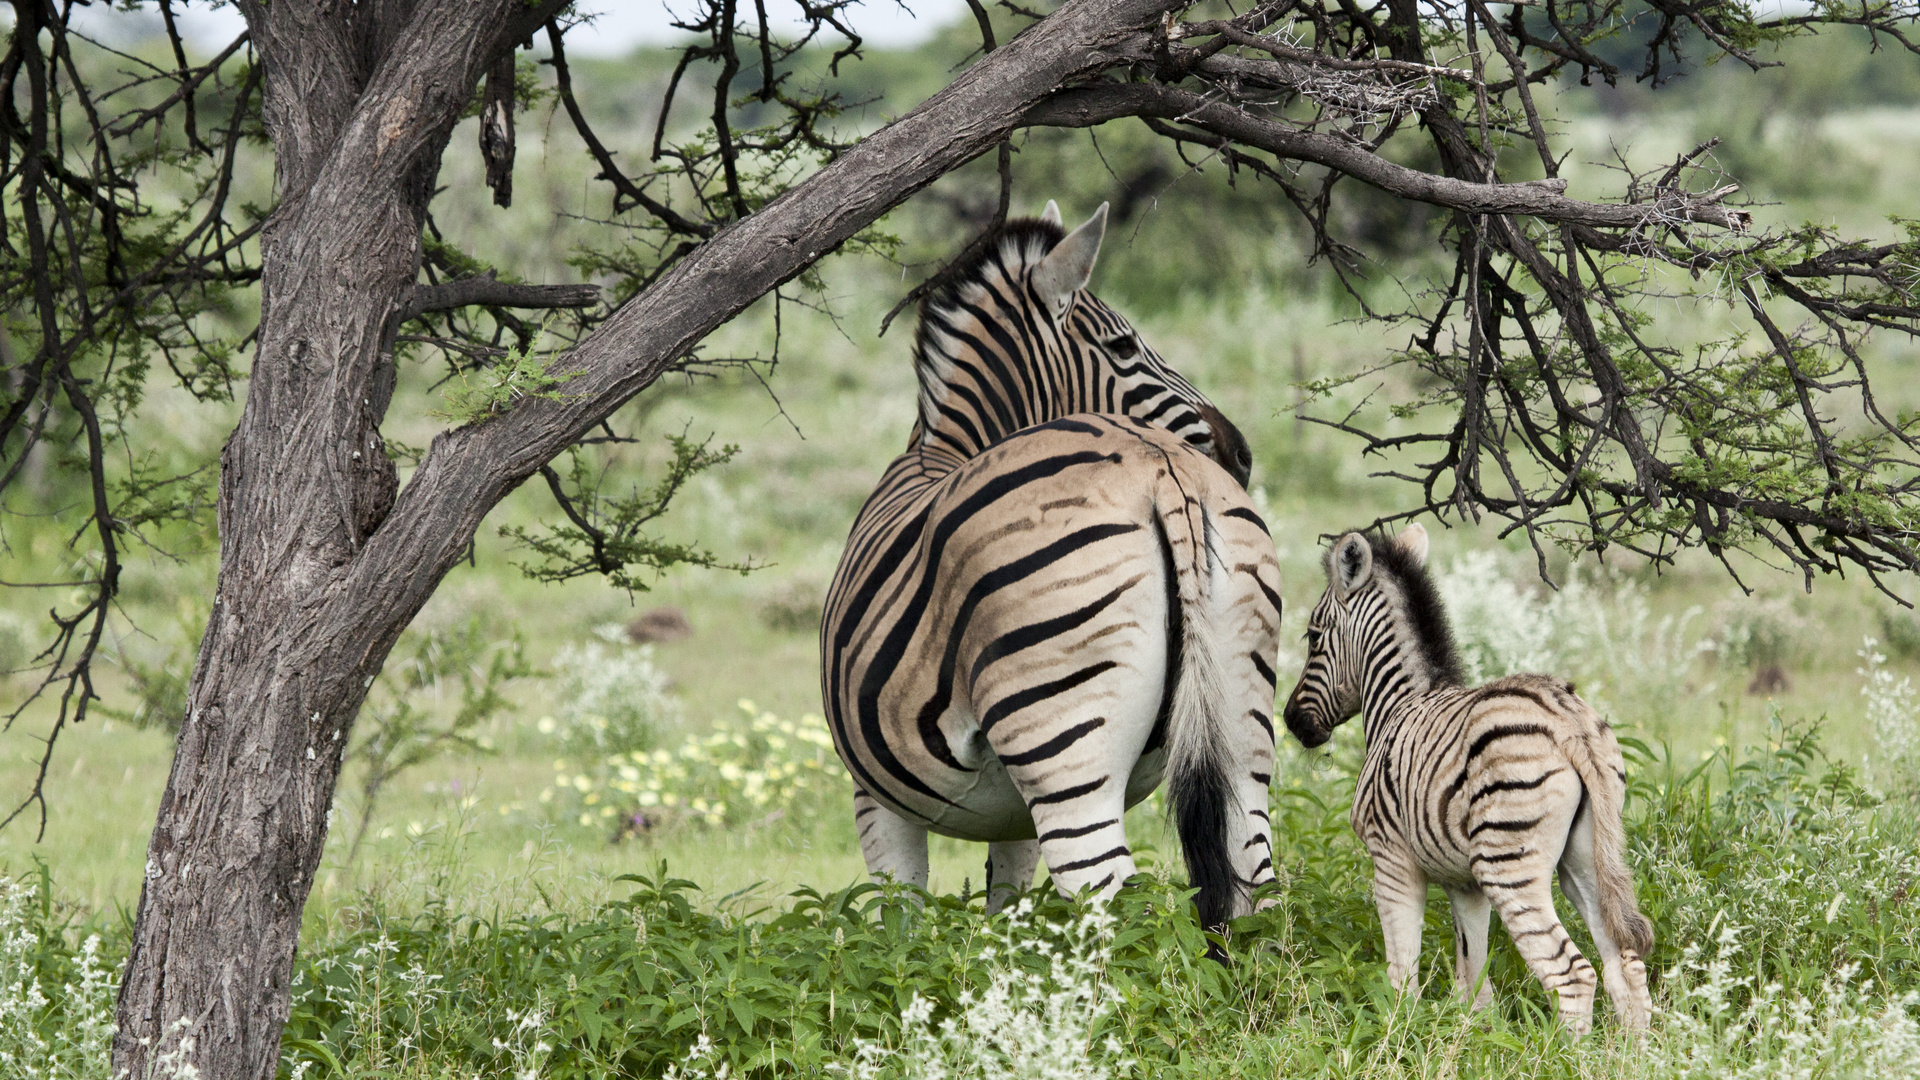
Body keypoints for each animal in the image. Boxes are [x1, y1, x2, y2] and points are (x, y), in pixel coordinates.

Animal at [821, 201, 1282, 926]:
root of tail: (1163, 470)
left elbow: (900, 921)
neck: (941, 451)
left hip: (1063, 738)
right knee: (1257, 891)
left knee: (1107, 897)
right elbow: (1006, 912)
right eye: (1123, 348)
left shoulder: (876, 796)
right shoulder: (1011, 815)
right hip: (1243, 722)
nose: (1241, 453)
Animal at [1274, 526, 1651, 1030]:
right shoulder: (1464, 884)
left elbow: (1402, 977)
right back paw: (1632, 1049)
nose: (1292, 721)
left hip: (1509, 865)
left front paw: (1399, 1034)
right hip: (1588, 858)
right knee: (1624, 967)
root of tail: (1566, 721)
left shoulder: (1392, 859)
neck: (1397, 703)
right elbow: (1473, 983)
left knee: (1573, 976)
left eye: (1312, 636)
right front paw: (1475, 1038)